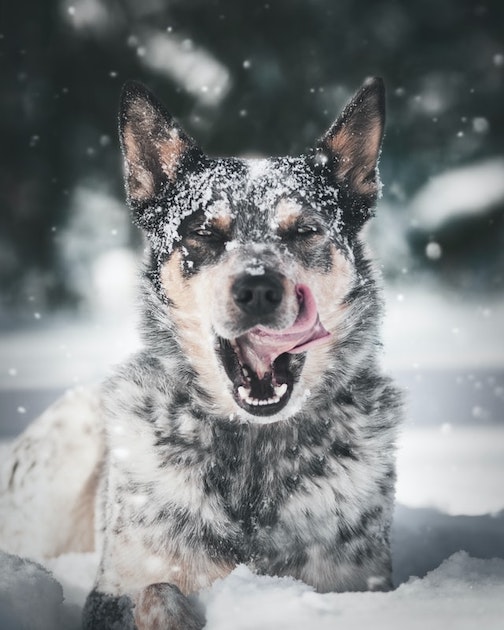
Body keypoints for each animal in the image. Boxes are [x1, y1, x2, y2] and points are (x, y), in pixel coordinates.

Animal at [0, 79, 402, 630]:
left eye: (303, 231)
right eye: (206, 233)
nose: (259, 289)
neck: (253, 452)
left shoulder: (361, 584)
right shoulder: (114, 589)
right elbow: (158, 589)